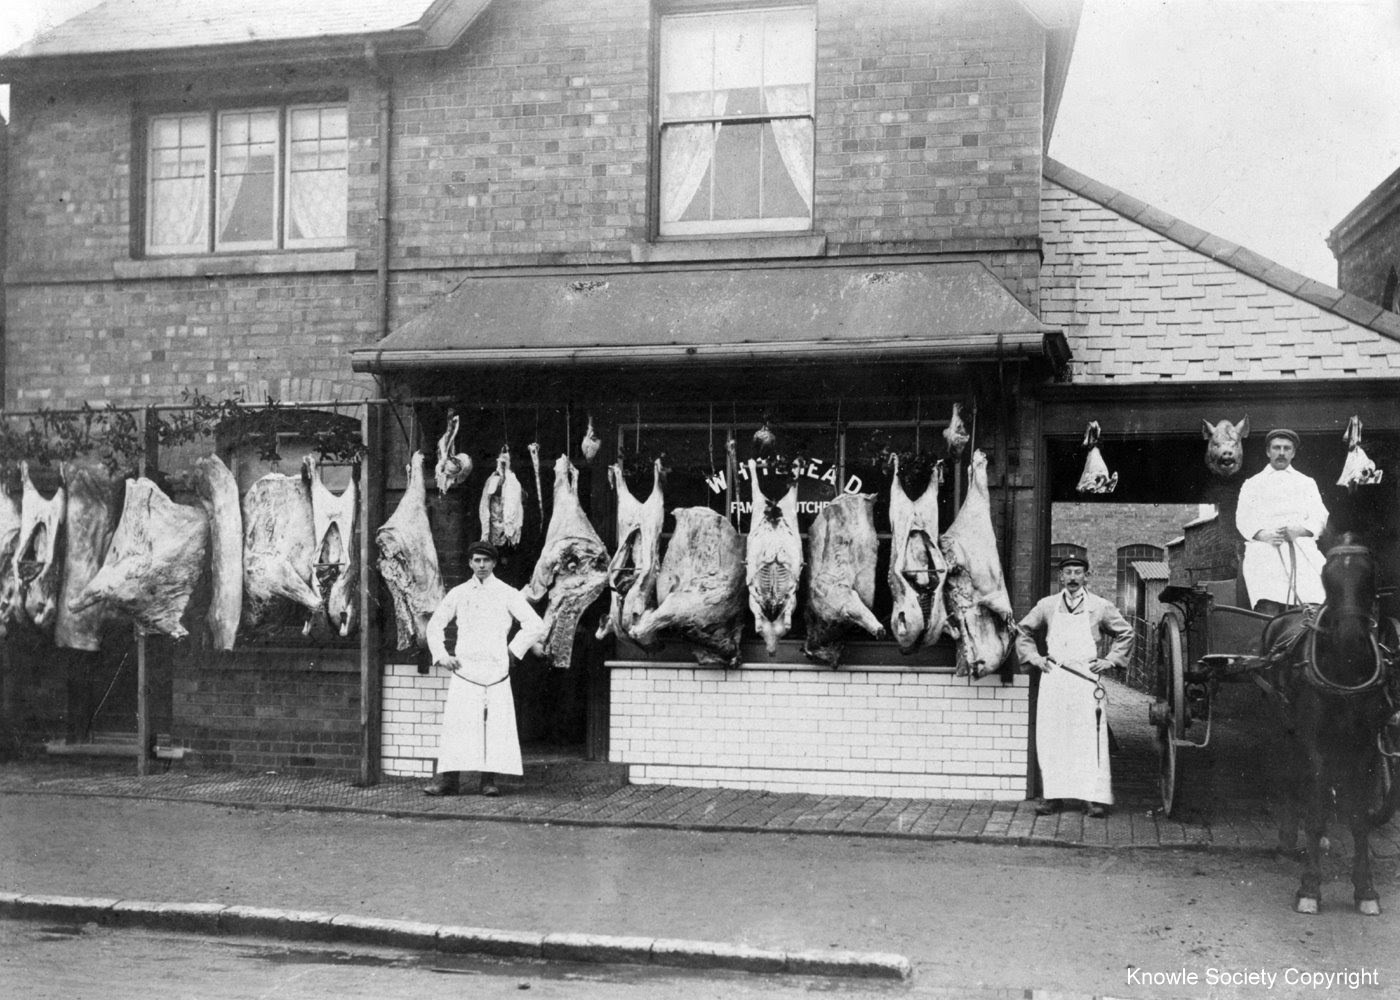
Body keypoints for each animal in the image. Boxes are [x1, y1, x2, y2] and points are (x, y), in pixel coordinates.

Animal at [1265, 535, 1394, 913]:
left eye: (1371, 573)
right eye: (1327, 575)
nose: (1350, 636)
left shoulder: (1366, 745)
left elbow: (1359, 818)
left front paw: (1366, 890)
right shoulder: (1315, 743)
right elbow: (1317, 811)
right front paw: (1309, 887)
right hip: (1284, 726)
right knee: (1291, 780)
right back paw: (1288, 840)